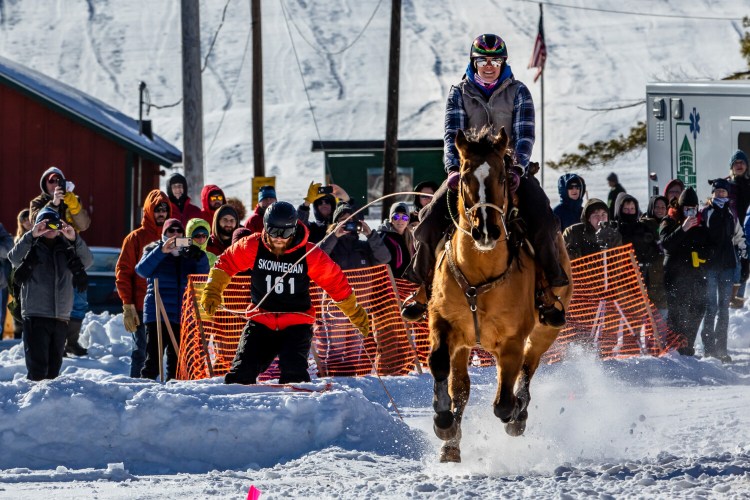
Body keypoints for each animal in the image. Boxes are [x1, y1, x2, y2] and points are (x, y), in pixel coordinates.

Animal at [428, 127, 576, 462]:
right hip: (465, 343)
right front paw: (443, 421)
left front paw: (515, 413)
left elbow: (503, 404)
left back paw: (519, 415)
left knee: (528, 367)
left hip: (545, 331)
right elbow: (439, 363)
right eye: (464, 176)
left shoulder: (512, 341)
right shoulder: (443, 322)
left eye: (503, 177)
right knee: (461, 387)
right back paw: (451, 445)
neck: (479, 277)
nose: (486, 230)